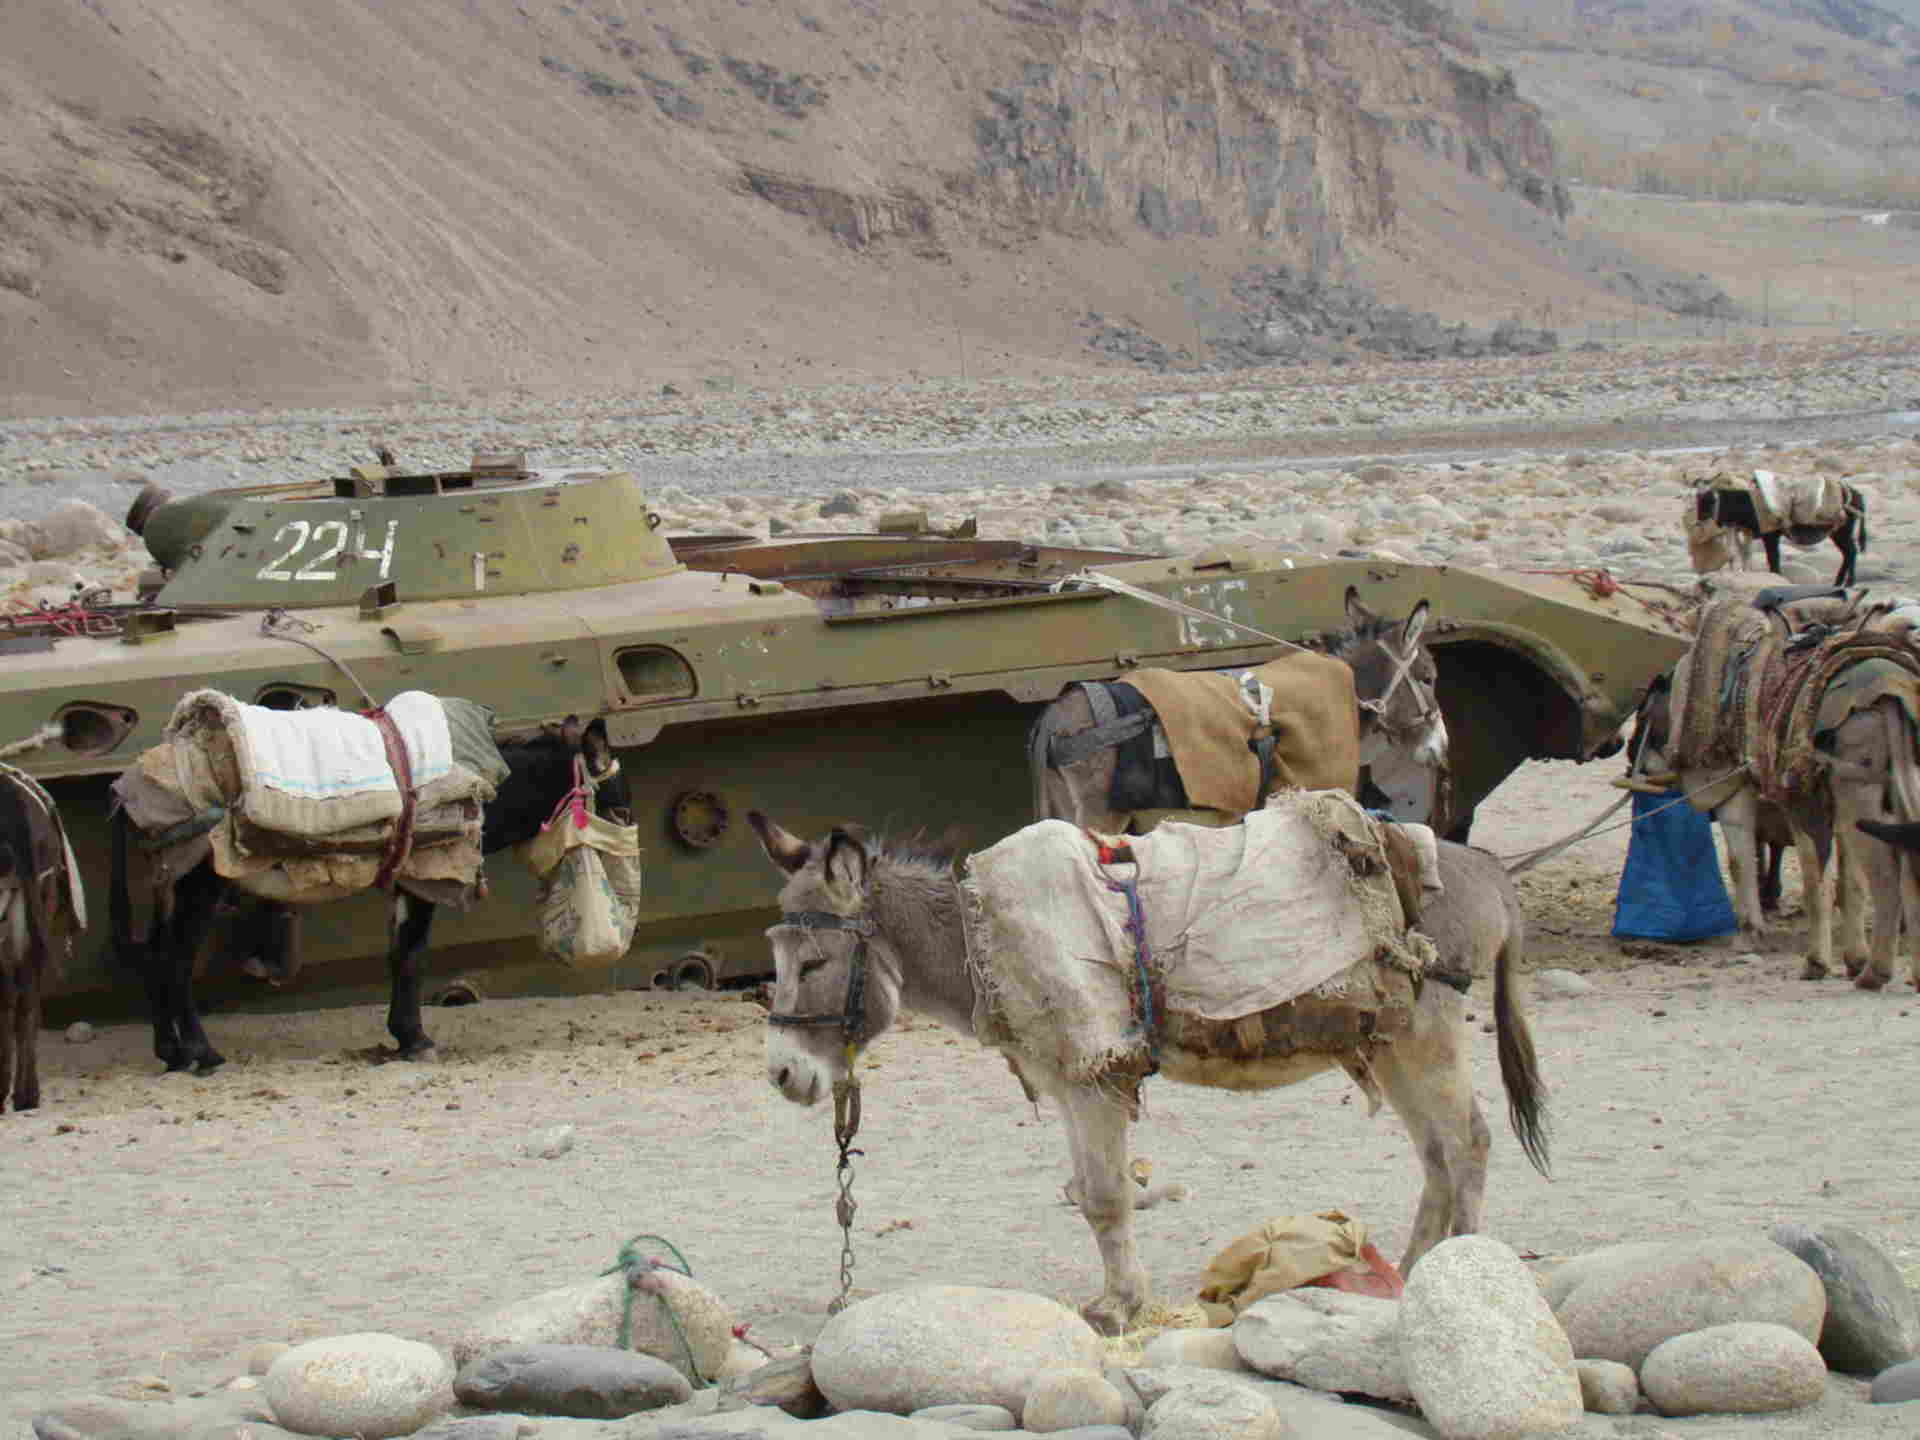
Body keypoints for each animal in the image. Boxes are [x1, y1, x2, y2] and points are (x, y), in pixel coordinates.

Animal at [110, 714, 627, 1074]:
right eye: (617, 801)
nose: (627, 832)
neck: (480, 787)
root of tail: (130, 788)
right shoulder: (424, 879)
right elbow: (413, 955)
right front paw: (416, 1040)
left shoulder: (402, 882)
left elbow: (398, 954)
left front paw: (403, 1036)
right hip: (199, 885)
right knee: (176, 961)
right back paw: (202, 1054)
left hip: (168, 885)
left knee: (155, 956)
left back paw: (172, 1053)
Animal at [747, 809, 1548, 1335]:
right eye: (775, 958)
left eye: (812, 964)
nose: (782, 1075)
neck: (981, 939)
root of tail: (1487, 869)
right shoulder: (1070, 1079)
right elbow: (1087, 1192)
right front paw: (1113, 1300)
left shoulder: (1094, 1073)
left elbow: (1105, 1198)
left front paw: (1122, 1309)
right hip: (1388, 1043)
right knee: (1439, 1153)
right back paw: (1412, 1272)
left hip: (1425, 1036)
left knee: (1469, 1144)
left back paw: (1457, 1271)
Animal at [1030, 586, 1449, 834]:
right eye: (1429, 678)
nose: (1442, 747)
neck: (1342, 688)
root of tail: (1056, 715)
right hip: (1101, 815)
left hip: (1064, 809)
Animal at [1690, 477, 1868, 587]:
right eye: (1698, 501)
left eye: (1709, 501)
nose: (1699, 523)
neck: (1750, 502)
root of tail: (1855, 493)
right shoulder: (1749, 534)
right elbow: (1748, 555)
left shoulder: (1771, 536)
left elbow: (1772, 558)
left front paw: (1777, 578)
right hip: (1838, 533)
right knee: (1848, 553)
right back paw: (1839, 582)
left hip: (1842, 531)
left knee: (1851, 552)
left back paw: (1848, 582)